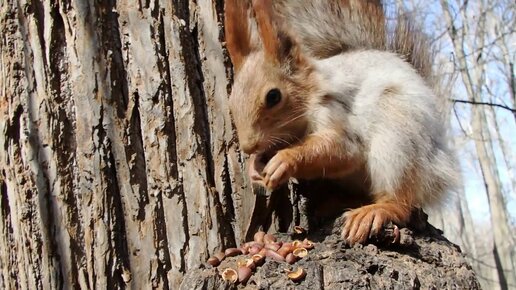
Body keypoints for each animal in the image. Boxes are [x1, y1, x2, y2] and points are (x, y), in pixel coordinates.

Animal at [224, 0, 458, 245]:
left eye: (273, 96)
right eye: (231, 101)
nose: (248, 146)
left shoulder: (334, 112)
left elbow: (343, 150)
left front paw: (285, 159)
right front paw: (255, 166)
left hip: (398, 135)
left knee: (401, 199)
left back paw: (376, 211)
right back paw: (334, 203)